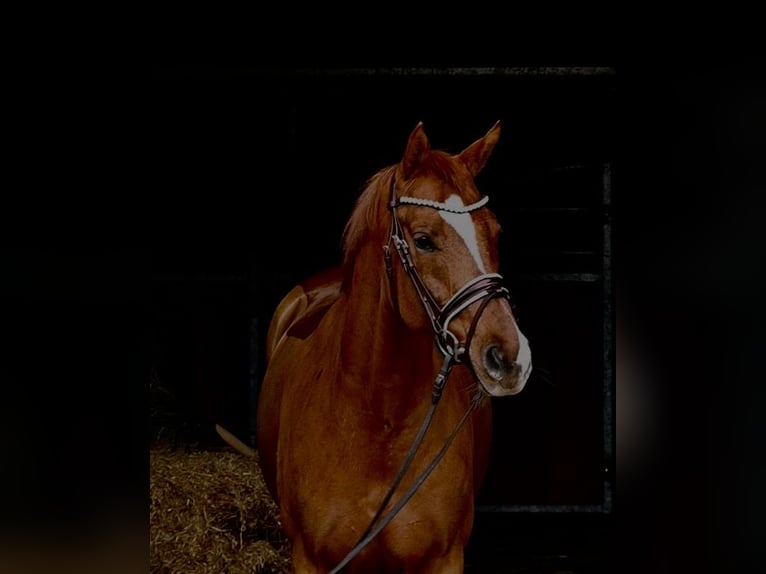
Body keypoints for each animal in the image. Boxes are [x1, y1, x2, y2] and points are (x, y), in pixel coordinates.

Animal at [258, 122, 536, 574]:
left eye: (494, 232)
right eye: (423, 240)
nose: (511, 358)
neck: (377, 421)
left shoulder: (444, 558)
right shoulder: (311, 559)